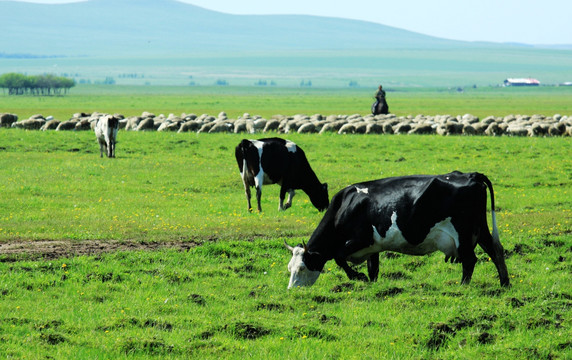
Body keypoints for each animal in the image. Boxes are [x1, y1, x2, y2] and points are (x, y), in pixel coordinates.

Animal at [286, 172, 510, 290]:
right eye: (289, 268)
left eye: (302, 268)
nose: (291, 291)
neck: (346, 206)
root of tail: (470, 174)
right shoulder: (373, 248)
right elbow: (373, 269)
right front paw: (370, 283)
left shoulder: (361, 239)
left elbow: (339, 257)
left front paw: (358, 277)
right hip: (480, 229)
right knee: (495, 252)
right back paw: (504, 284)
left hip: (463, 234)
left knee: (470, 260)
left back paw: (462, 286)